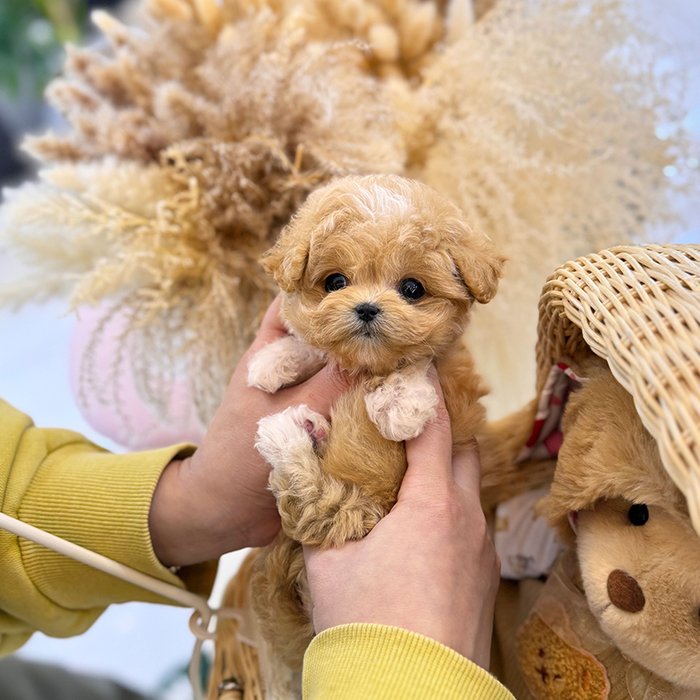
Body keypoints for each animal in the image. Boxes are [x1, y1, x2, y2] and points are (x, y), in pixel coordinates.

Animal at [246, 172, 504, 668]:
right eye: (335, 281)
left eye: (412, 289)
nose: (366, 308)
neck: (368, 366)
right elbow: (314, 345)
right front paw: (274, 359)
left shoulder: (449, 372)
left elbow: (418, 361)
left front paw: (402, 404)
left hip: (355, 505)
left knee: (314, 504)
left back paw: (287, 435)